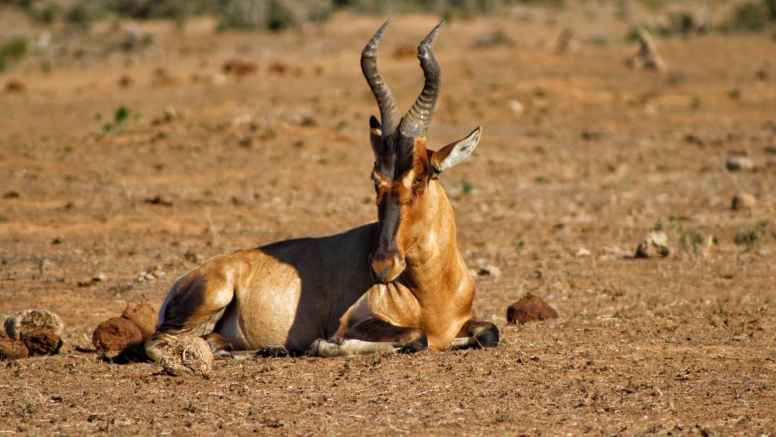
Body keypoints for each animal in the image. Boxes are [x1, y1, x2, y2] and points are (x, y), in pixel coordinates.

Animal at [144, 18, 498, 360]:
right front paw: (326, 345)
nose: (381, 266)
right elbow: (415, 337)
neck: (431, 292)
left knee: (215, 341)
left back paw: (269, 349)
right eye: (376, 178)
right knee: (156, 343)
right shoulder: (353, 322)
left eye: (420, 178)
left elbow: (489, 332)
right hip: (206, 302)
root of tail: (184, 279)